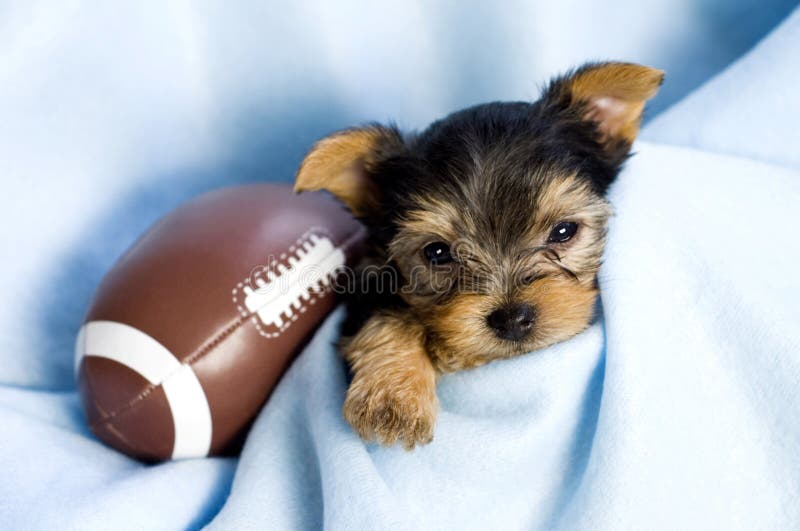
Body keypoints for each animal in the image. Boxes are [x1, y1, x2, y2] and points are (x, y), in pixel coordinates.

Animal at [294, 60, 664, 448]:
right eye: (437, 252)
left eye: (564, 231)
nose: (512, 318)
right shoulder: (368, 275)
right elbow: (387, 313)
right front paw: (393, 397)